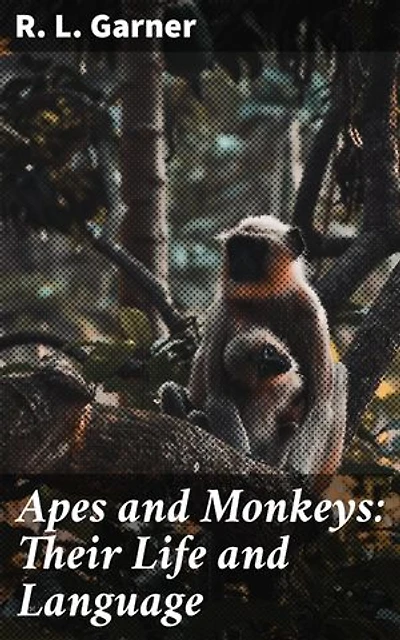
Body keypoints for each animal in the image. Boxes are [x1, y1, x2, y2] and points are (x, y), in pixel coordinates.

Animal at [187, 214, 336, 464]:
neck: (264, 297)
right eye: (236, 247)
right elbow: (219, 396)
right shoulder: (222, 311)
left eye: (254, 248)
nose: (239, 260)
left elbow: (320, 404)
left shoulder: (310, 310)